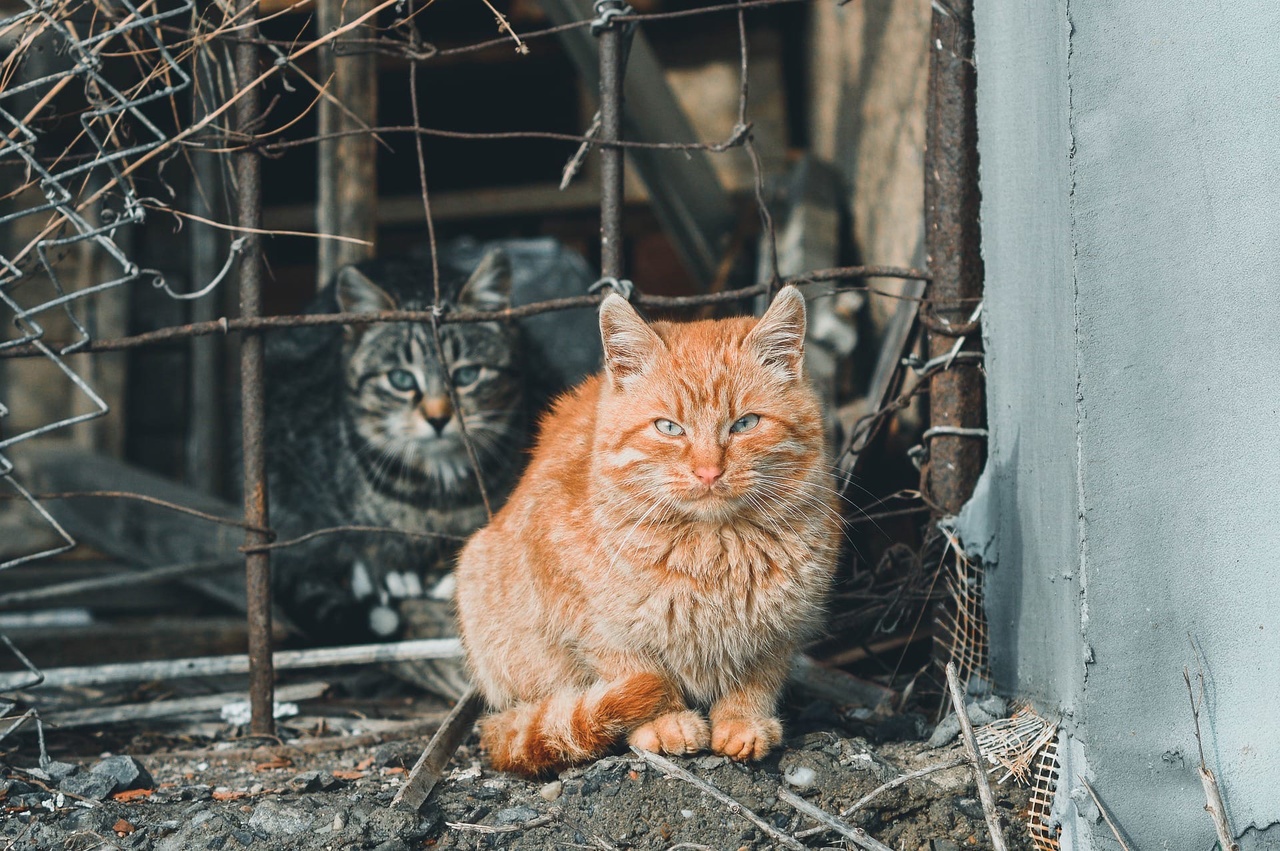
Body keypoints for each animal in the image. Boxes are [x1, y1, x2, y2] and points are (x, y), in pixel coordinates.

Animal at [453, 286, 839, 778]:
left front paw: (743, 720)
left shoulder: (783, 626)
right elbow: (633, 668)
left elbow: (759, 675)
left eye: (745, 423)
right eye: (669, 428)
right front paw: (664, 720)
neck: (711, 549)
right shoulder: (583, 611)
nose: (708, 471)